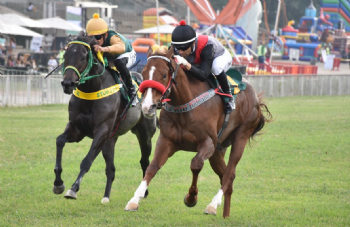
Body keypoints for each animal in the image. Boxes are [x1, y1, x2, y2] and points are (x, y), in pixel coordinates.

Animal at [53, 31, 157, 203]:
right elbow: (60, 140)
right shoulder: (77, 129)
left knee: (144, 161)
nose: (68, 83)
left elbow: (86, 161)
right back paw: (106, 197)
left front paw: (73, 189)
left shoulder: (102, 131)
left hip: (144, 134)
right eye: (65, 56)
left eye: (83, 57)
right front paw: (58, 183)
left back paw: (143, 192)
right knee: (111, 169)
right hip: (111, 139)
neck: (92, 90)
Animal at [124, 46, 272, 218]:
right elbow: (153, 166)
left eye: (164, 74)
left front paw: (191, 198)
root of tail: (255, 96)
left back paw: (213, 205)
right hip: (218, 150)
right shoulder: (166, 141)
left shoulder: (208, 143)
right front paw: (134, 200)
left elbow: (195, 164)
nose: (148, 107)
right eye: (144, 73)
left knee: (229, 173)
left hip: (241, 136)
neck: (183, 106)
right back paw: (225, 215)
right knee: (226, 175)